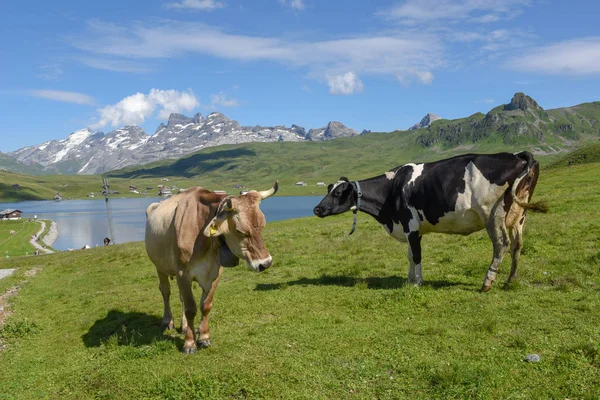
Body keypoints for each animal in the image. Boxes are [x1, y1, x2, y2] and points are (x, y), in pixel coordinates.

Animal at [144, 181, 278, 354]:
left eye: (262, 225)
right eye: (240, 231)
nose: (265, 263)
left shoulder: (215, 272)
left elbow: (205, 305)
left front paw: (204, 337)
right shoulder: (183, 273)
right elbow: (191, 309)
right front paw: (189, 343)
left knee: (181, 298)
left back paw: (184, 325)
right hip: (159, 266)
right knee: (166, 292)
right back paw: (168, 321)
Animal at [314, 152, 548, 292]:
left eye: (338, 193)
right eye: (329, 189)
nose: (316, 209)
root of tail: (518, 155)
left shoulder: (410, 226)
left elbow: (417, 256)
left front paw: (417, 282)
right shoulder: (411, 229)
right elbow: (410, 255)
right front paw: (409, 279)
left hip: (493, 214)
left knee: (501, 244)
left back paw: (487, 282)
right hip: (519, 215)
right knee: (518, 245)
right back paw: (511, 280)